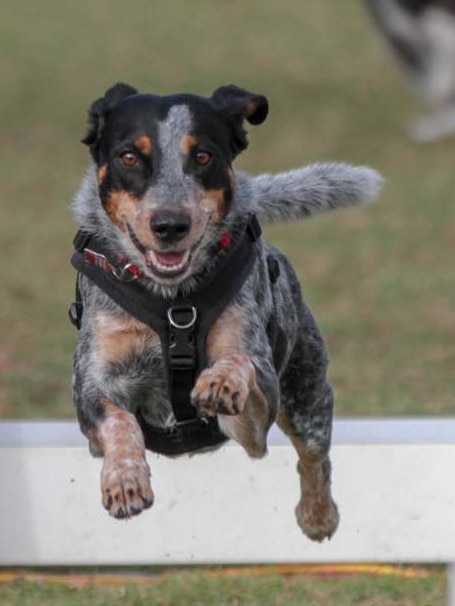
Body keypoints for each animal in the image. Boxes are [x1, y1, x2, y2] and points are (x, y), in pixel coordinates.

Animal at [70, 83, 382, 544]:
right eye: (128, 156)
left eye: (203, 156)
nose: (170, 224)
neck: (171, 302)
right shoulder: (91, 385)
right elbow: (119, 422)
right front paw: (125, 479)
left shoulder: (254, 420)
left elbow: (239, 361)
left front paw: (220, 380)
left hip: (307, 394)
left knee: (314, 455)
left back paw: (318, 515)